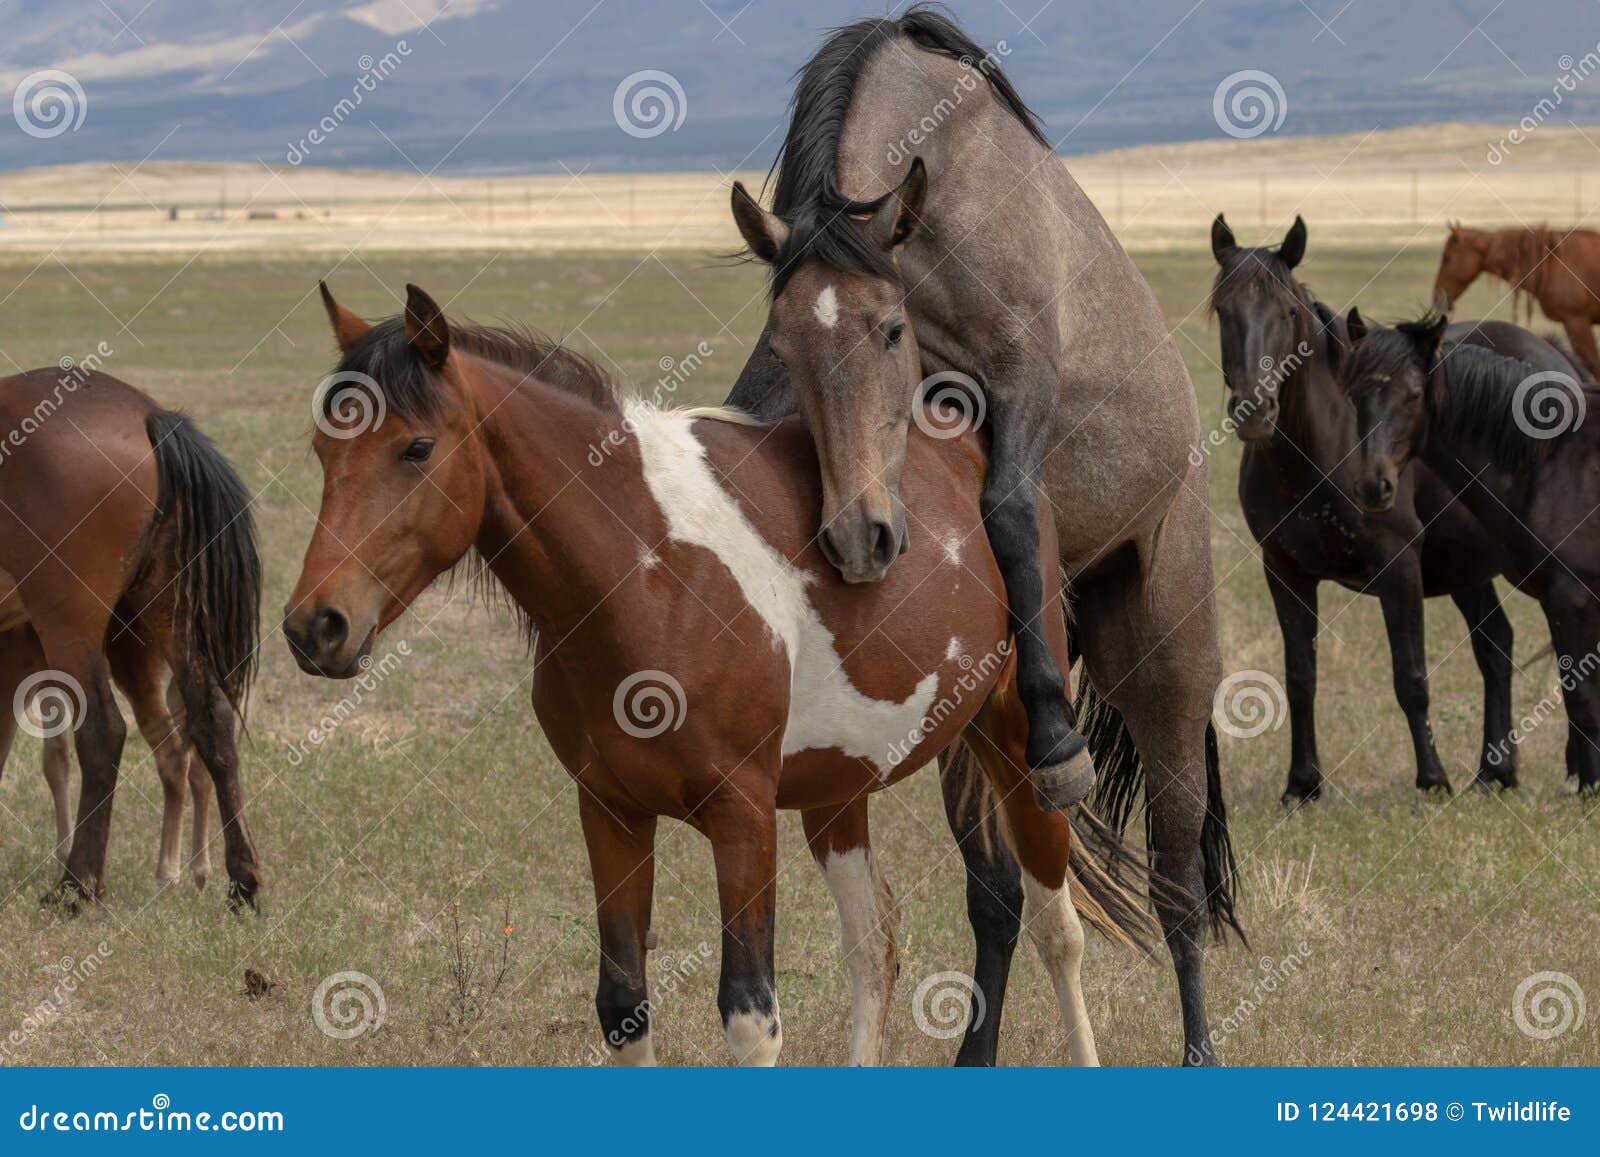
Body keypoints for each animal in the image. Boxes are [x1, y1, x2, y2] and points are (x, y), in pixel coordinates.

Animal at [1, 625, 212, 887]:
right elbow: (55, 759)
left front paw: (65, 855)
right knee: (199, 764)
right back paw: (200, 870)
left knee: (178, 755)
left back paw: (171, 874)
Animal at [286, 283, 1160, 1065]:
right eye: (322, 450)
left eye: (416, 447)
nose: (314, 625)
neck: (649, 574)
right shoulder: (610, 812)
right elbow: (623, 1006)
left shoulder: (742, 818)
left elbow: (750, 1016)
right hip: (838, 790)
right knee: (874, 943)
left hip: (1015, 743)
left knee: (1056, 930)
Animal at [724, 6, 1239, 1064]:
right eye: (789, 339)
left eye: (887, 330)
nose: (858, 542)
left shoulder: (1024, 381)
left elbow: (1005, 504)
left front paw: (1058, 733)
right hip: (969, 726)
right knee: (997, 895)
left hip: (1165, 655)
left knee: (1176, 880)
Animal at [1341, 309, 1600, 794]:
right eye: (1353, 394)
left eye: (1414, 395)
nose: (1373, 486)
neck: (1553, 460)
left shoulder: (1571, 599)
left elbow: (1583, 703)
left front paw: (1590, 790)